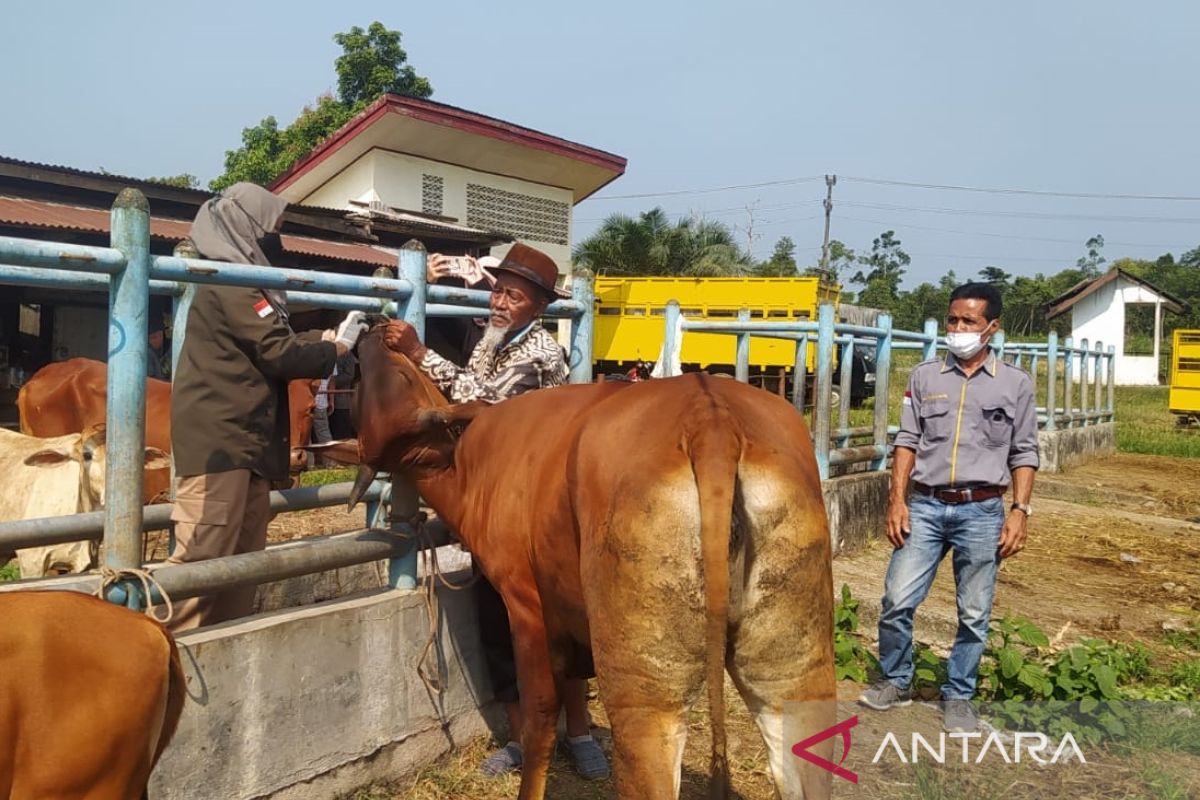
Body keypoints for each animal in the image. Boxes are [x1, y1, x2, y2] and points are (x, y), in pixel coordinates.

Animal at [348, 328, 835, 796]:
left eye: (398, 376)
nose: (369, 334)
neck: (472, 465)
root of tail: (709, 416)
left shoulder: (526, 603)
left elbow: (541, 713)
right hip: (795, 672)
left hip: (642, 691)